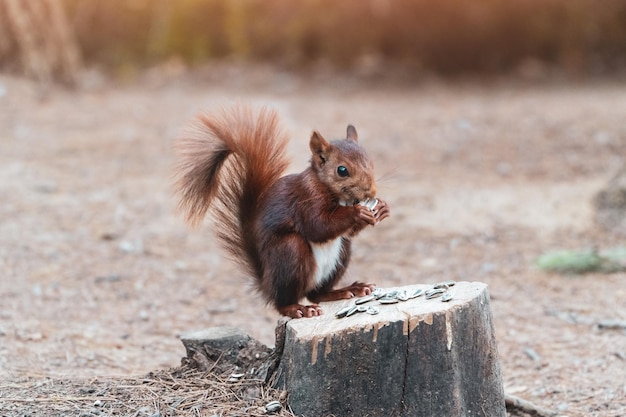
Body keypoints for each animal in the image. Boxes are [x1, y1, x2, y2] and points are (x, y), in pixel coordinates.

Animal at [173, 105, 388, 316]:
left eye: (370, 162)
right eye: (342, 170)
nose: (371, 191)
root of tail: (266, 282)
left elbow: (346, 231)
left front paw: (382, 208)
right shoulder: (305, 199)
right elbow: (318, 227)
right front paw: (357, 212)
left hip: (342, 252)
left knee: (317, 293)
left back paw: (348, 290)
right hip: (289, 252)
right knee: (284, 301)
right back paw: (298, 308)